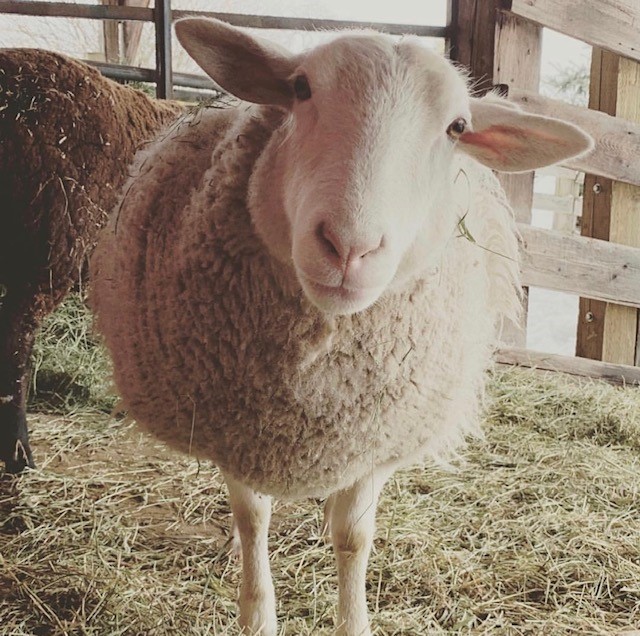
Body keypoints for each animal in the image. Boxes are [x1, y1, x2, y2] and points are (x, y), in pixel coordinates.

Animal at [90, 18, 593, 635]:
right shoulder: (233, 428)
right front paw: (257, 613)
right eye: (301, 88)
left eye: (457, 127)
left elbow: (353, 537)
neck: (313, 388)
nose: (348, 247)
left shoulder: (376, 436)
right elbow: (252, 518)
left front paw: (352, 616)